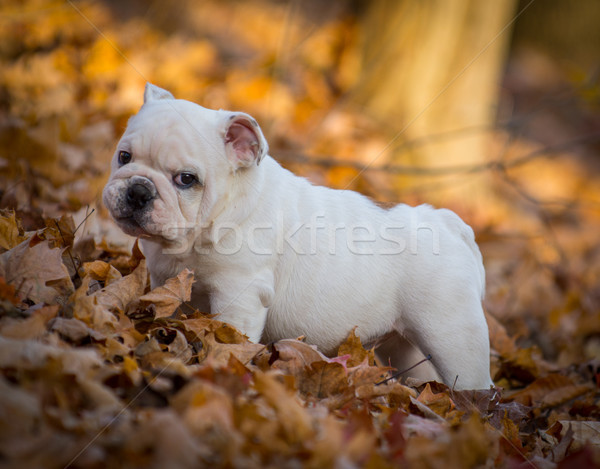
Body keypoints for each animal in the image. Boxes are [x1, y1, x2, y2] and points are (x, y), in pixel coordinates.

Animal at [104, 83, 492, 388]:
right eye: (123, 156)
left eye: (186, 179)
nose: (138, 190)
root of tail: (448, 224)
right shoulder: (165, 277)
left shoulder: (239, 294)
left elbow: (230, 335)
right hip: (405, 342)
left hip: (452, 335)